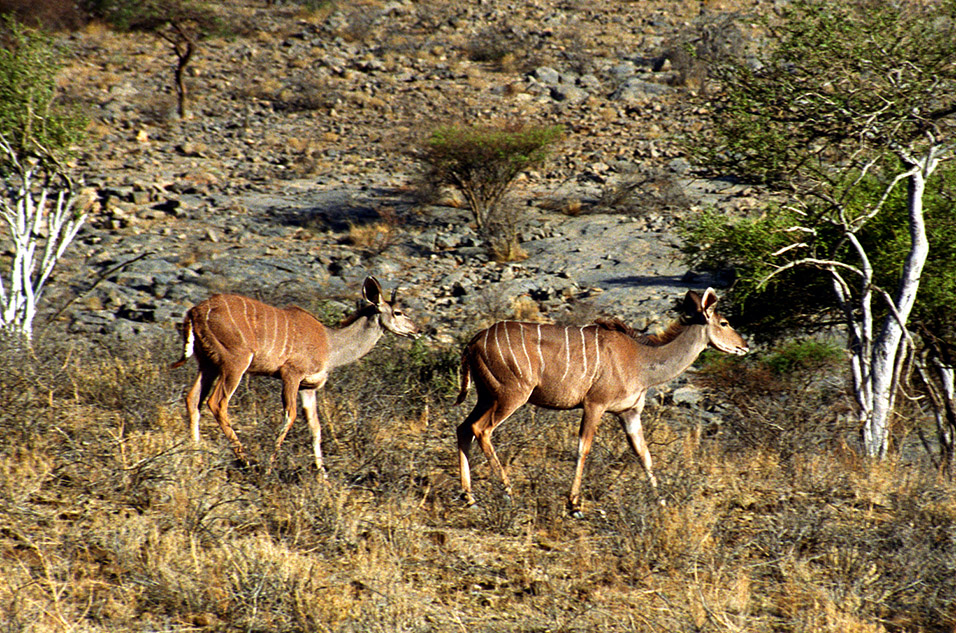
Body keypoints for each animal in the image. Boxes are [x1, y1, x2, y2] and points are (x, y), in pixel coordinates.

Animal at [170, 274, 416, 472]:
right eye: (398, 312)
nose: (417, 330)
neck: (330, 344)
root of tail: (195, 312)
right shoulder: (291, 375)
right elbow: (290, 415)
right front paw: (269, 466)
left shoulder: (309, 387)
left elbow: (315, 427)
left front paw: (323, 476)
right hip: (234, 363)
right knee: (217, 402)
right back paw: (245, 460)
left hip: (208, 364)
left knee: (193, 399)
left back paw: (197, 458)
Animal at [456, 288, 748, 516]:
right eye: (724, 322)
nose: (744, 346)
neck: (641, 360)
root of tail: (474, 342)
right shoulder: (595, 404)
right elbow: (583, 448)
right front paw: (574, 505)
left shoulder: (629, 412)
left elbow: (644, 454)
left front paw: (661, 501)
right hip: (511, 395)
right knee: (481, 429)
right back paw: (507, 491)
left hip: (487, 396)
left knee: (463, 428)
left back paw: (470, 498)